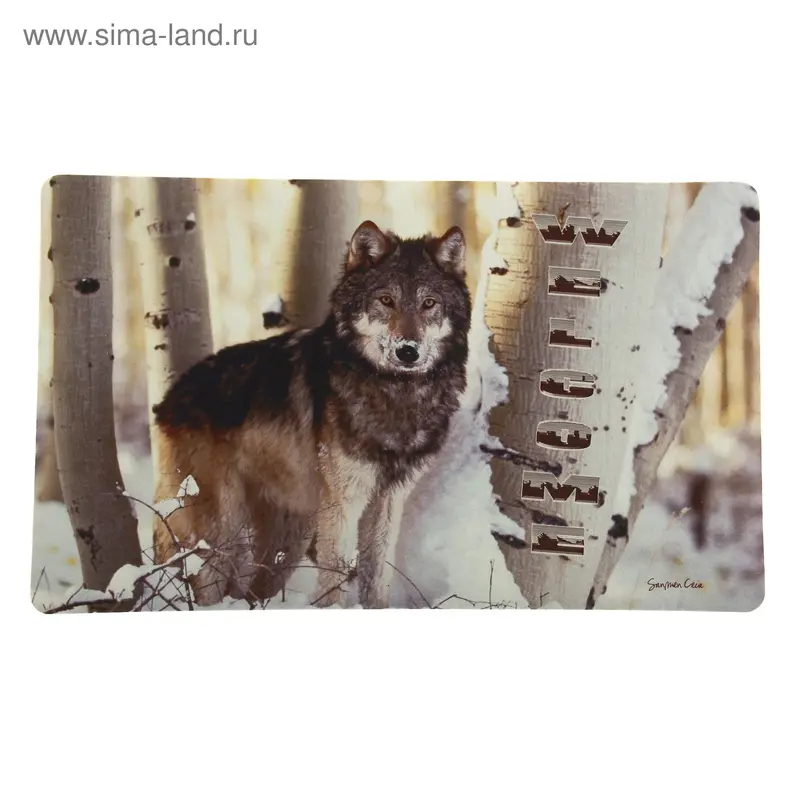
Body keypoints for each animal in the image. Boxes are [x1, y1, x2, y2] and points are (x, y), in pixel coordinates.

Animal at [152, 220, 471, 608]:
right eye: (386, 300)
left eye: (429, 304)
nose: (407, 351)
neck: (397, 394)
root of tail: (167, 401)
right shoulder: (344, 503)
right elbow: (334, 579)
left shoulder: (389, 501)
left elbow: (377, 576)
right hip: (221, 531)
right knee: (205, 587)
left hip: (289, 539)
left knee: (253, 591)